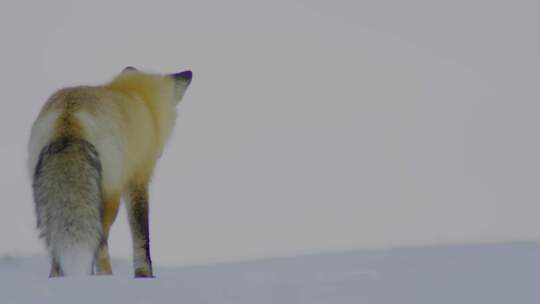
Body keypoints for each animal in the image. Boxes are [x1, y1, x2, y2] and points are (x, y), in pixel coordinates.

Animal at [28, 67, 192, 278]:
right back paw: (104, 276)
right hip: (109, 199)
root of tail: (68, 118)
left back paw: (60, 279)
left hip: (47, 198)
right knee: (100, 243)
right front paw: (144, 274)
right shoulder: (137, 179)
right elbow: (142, 236)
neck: (138, 99)